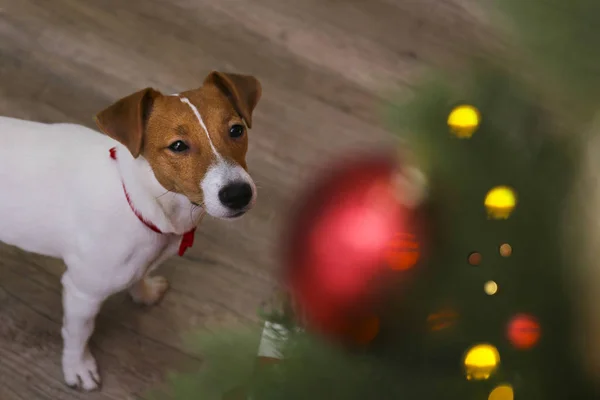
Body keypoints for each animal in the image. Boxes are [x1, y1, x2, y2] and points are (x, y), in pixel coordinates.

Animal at [0, 71, 262, 390]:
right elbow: (77, 334)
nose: (238, 194)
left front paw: (145, 292)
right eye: (178, 146)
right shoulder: (81, 293)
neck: (140, 198)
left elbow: (139, 276)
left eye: (236, 130)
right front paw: (77, 366)